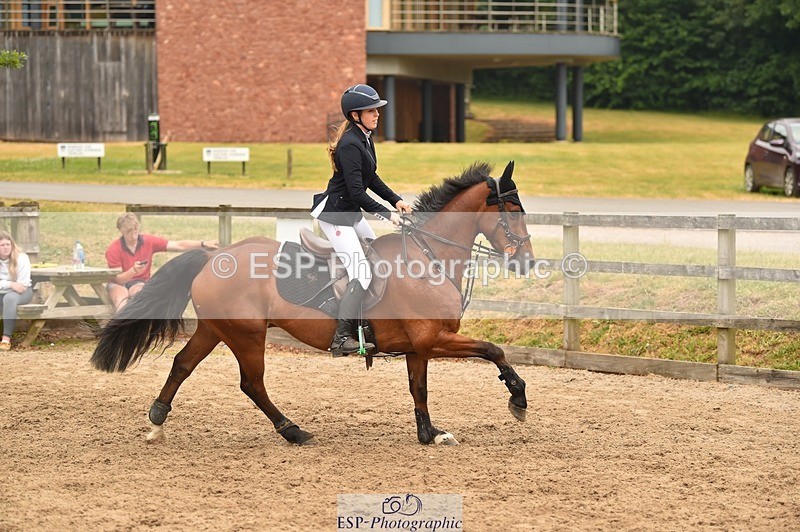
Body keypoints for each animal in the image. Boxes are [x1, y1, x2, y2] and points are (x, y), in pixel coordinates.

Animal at [91, 161, 535, 446]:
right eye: (513, 213)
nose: (528, 262)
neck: (429, 257)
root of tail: (215, 254)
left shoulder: (418, 347)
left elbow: (419, 388)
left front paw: (429, 434)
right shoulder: (434, 339)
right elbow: (493, 350)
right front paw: (518, 399)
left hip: (216, 329)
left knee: (182, 364)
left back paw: (157, 421)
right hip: (246, 335)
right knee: (252, 383)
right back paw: (292, 430)